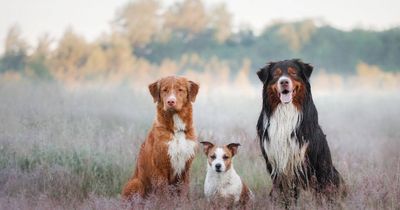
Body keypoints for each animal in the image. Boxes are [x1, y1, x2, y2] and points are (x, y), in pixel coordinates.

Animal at [256, 58, 346, 203]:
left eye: (293, 73)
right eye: (276, 74)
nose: (284, 82)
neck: (286, 112)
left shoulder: (304, 161)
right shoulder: (274, 162)